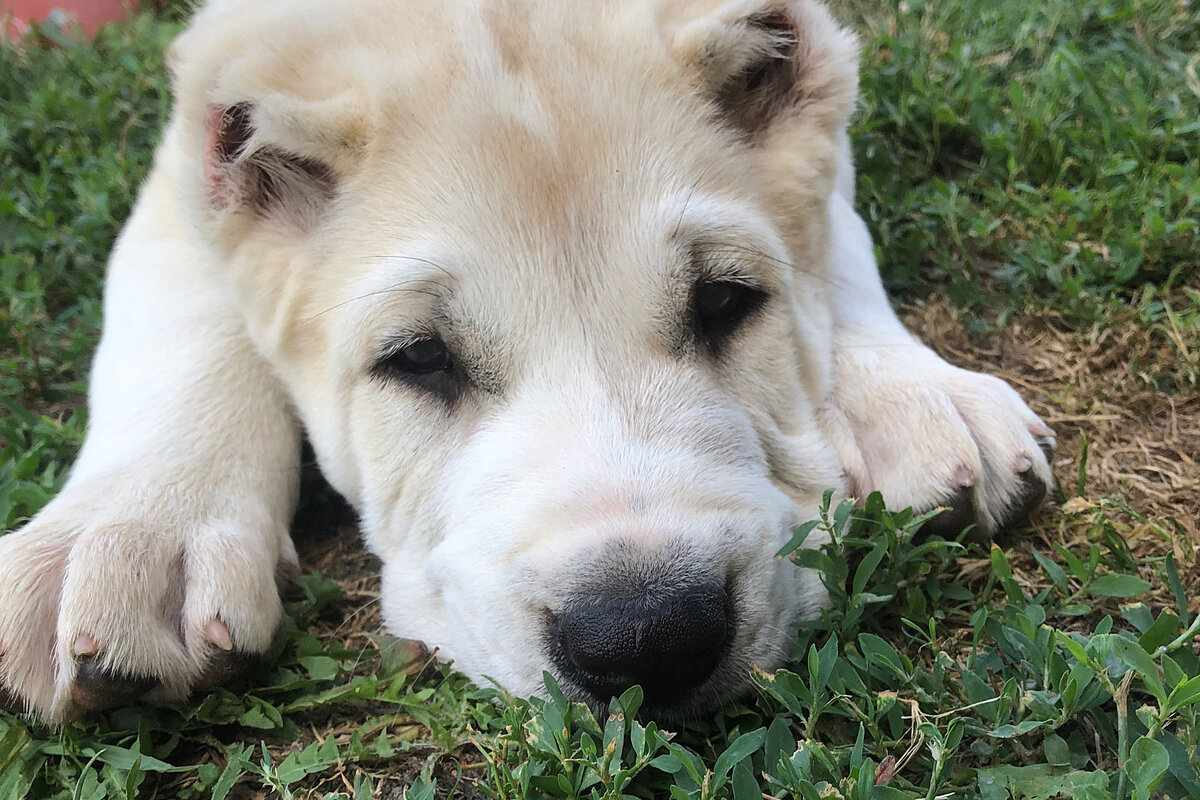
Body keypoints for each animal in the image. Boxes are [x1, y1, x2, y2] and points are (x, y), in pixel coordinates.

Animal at [0, 0, 1051, 719]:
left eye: (724, 303)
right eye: (420, 358)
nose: (649, 635)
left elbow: (834, 235)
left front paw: (913, 396)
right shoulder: (185, 164)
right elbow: (182, 314)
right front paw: (135, 533)